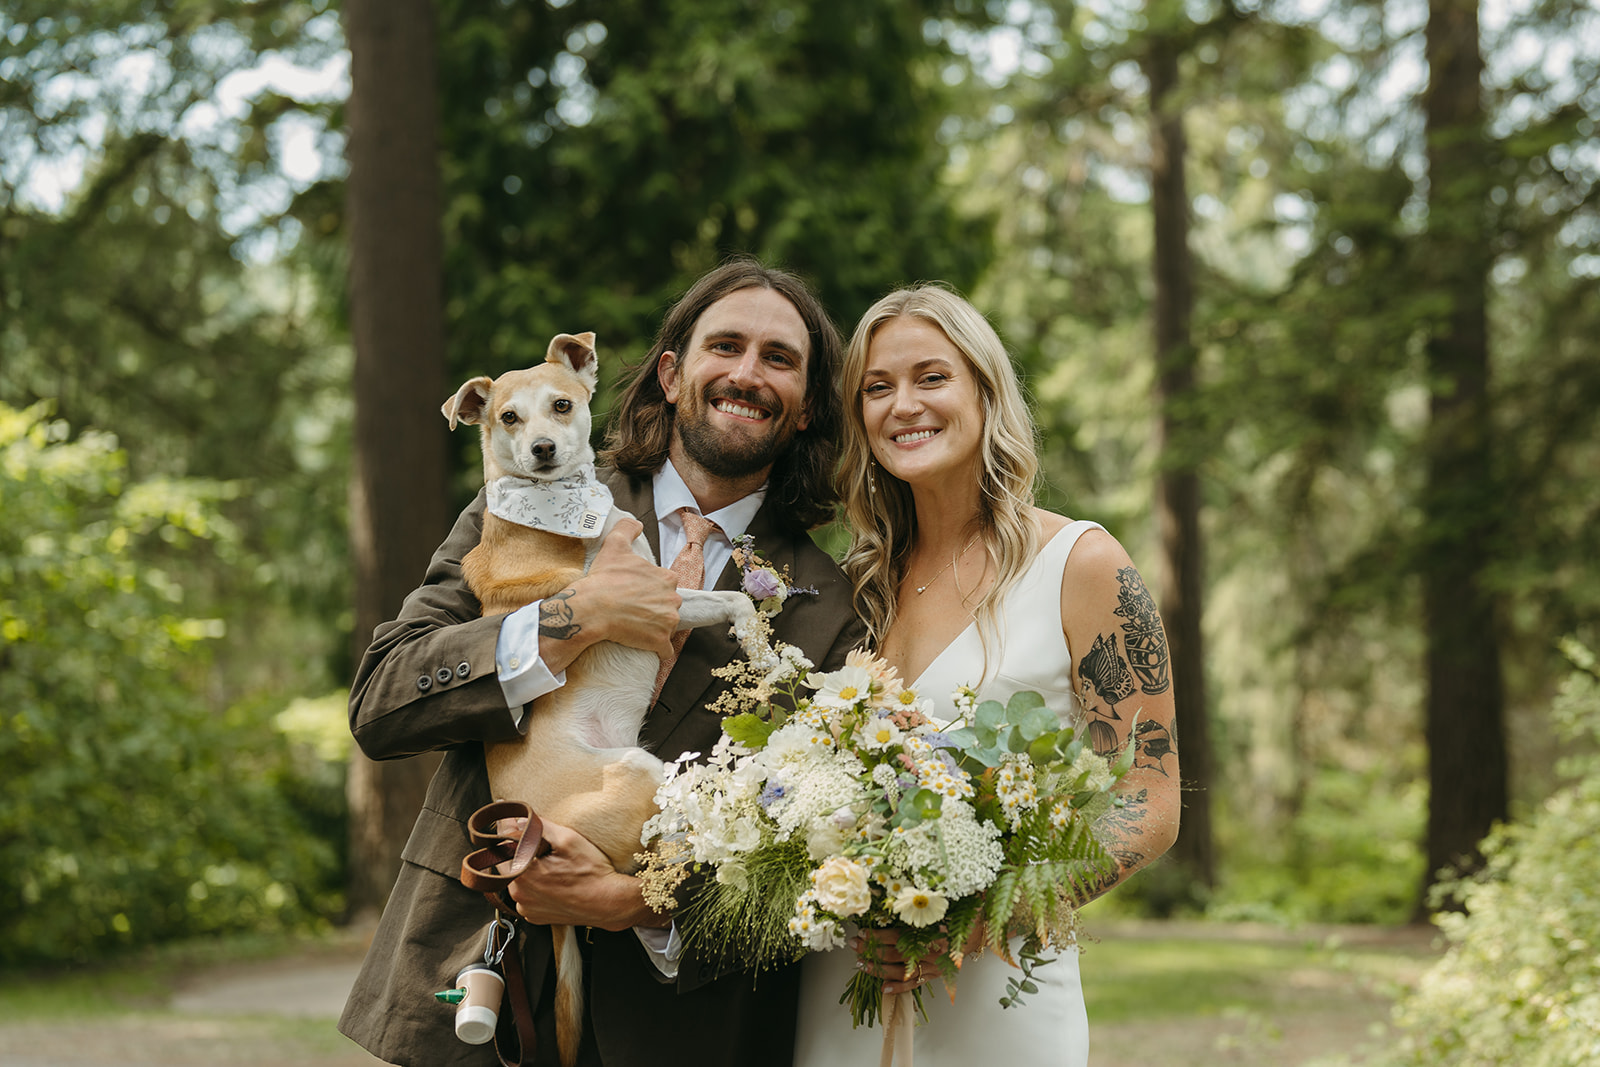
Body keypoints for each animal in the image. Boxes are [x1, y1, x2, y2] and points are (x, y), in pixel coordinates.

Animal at [444, 334, 755, 1067]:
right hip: (640, 775)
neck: (559, 504)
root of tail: (527, 833)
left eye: (561, 405)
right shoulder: (653, 598)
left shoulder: (662, 591)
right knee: (686, 822)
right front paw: (758, 637)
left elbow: (730, 593)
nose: (542, 450)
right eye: (507, 417)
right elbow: (730, 597)